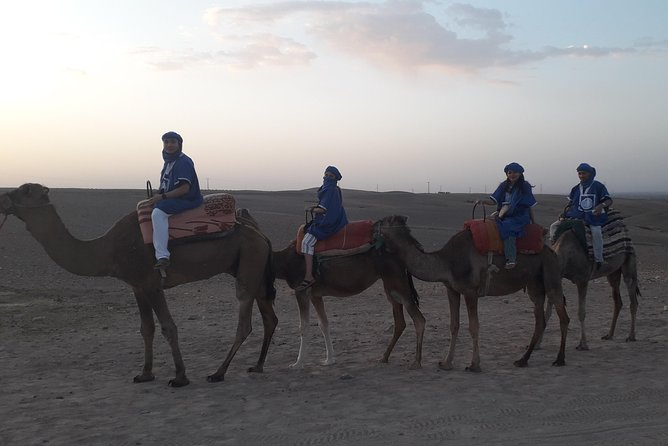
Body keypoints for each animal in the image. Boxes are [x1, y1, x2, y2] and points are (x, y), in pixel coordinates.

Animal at [0, 183, 278, 387]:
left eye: (26, 190)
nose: (3, 198)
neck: (108, 250)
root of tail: (261, 234)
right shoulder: (137, 286)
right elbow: (147, 329)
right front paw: (145, 374)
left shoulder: (152, 282)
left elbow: (168, 327)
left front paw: (180, 377)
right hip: (253, 267)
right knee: (269, 317)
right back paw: (258, 366)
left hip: (249, 261)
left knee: (244, 320)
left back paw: (218, 373)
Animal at [235, 209, 426, 369]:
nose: (242, 210)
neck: (284, 262)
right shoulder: (316, 295)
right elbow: (323, 324)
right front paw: (329, 359)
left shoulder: (301, 291)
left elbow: (304, 325)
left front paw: (298, 363)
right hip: (391, 284)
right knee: (400, 322)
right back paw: (384, 358)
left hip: (397, 281)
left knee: (418, 319)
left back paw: (416, 362)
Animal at [376, 215, 570, 372]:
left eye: (383, 221)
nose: (373, 223)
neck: (445, 262)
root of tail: (550, 249)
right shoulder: (451, 289)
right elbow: (454, 325)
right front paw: (446, 363)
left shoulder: (470, 292)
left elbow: (474, 326)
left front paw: (474, 365)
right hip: (534, 284)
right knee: (540, 319)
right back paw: (523, 360)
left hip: (551, 273)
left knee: (563, 315)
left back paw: (559, 359)